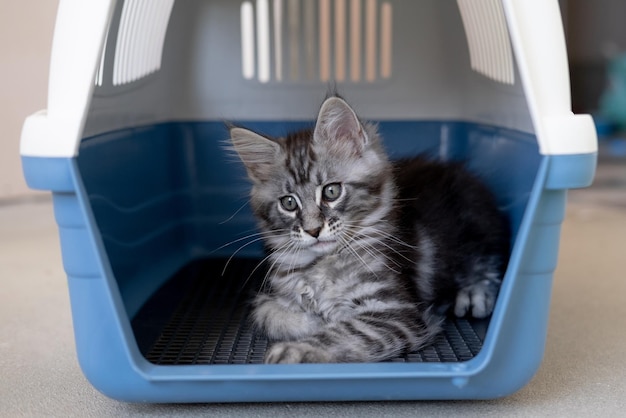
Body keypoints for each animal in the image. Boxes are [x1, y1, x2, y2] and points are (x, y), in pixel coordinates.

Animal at [227, 95, 510, 362]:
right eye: (288, 203)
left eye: (331, 191)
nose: (313, 230)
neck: (320, 264)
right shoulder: (274, 296)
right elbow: (268, 315)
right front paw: (315, 320)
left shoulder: (397, 313)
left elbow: (346, 332)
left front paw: (295, 350)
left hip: (476, 226)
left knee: (488, 262)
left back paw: (473, 293)